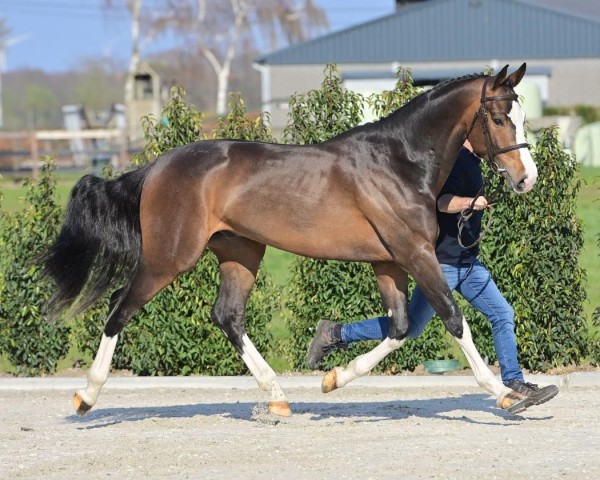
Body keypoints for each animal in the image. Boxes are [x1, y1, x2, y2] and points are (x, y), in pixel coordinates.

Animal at [44, 62, 536, 416]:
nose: (526, 179)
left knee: (228, 316)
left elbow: (398, 327)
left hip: (241, 251)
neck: (399, 161)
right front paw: (505, 394)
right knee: (119, 309)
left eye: (523, 115)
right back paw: (86, 396)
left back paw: (278, 396)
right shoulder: (415, 254)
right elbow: (453, 317)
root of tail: (155, 167)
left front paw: (333, 377)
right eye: (498, 117)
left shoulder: (389, 261)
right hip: (170, 258)